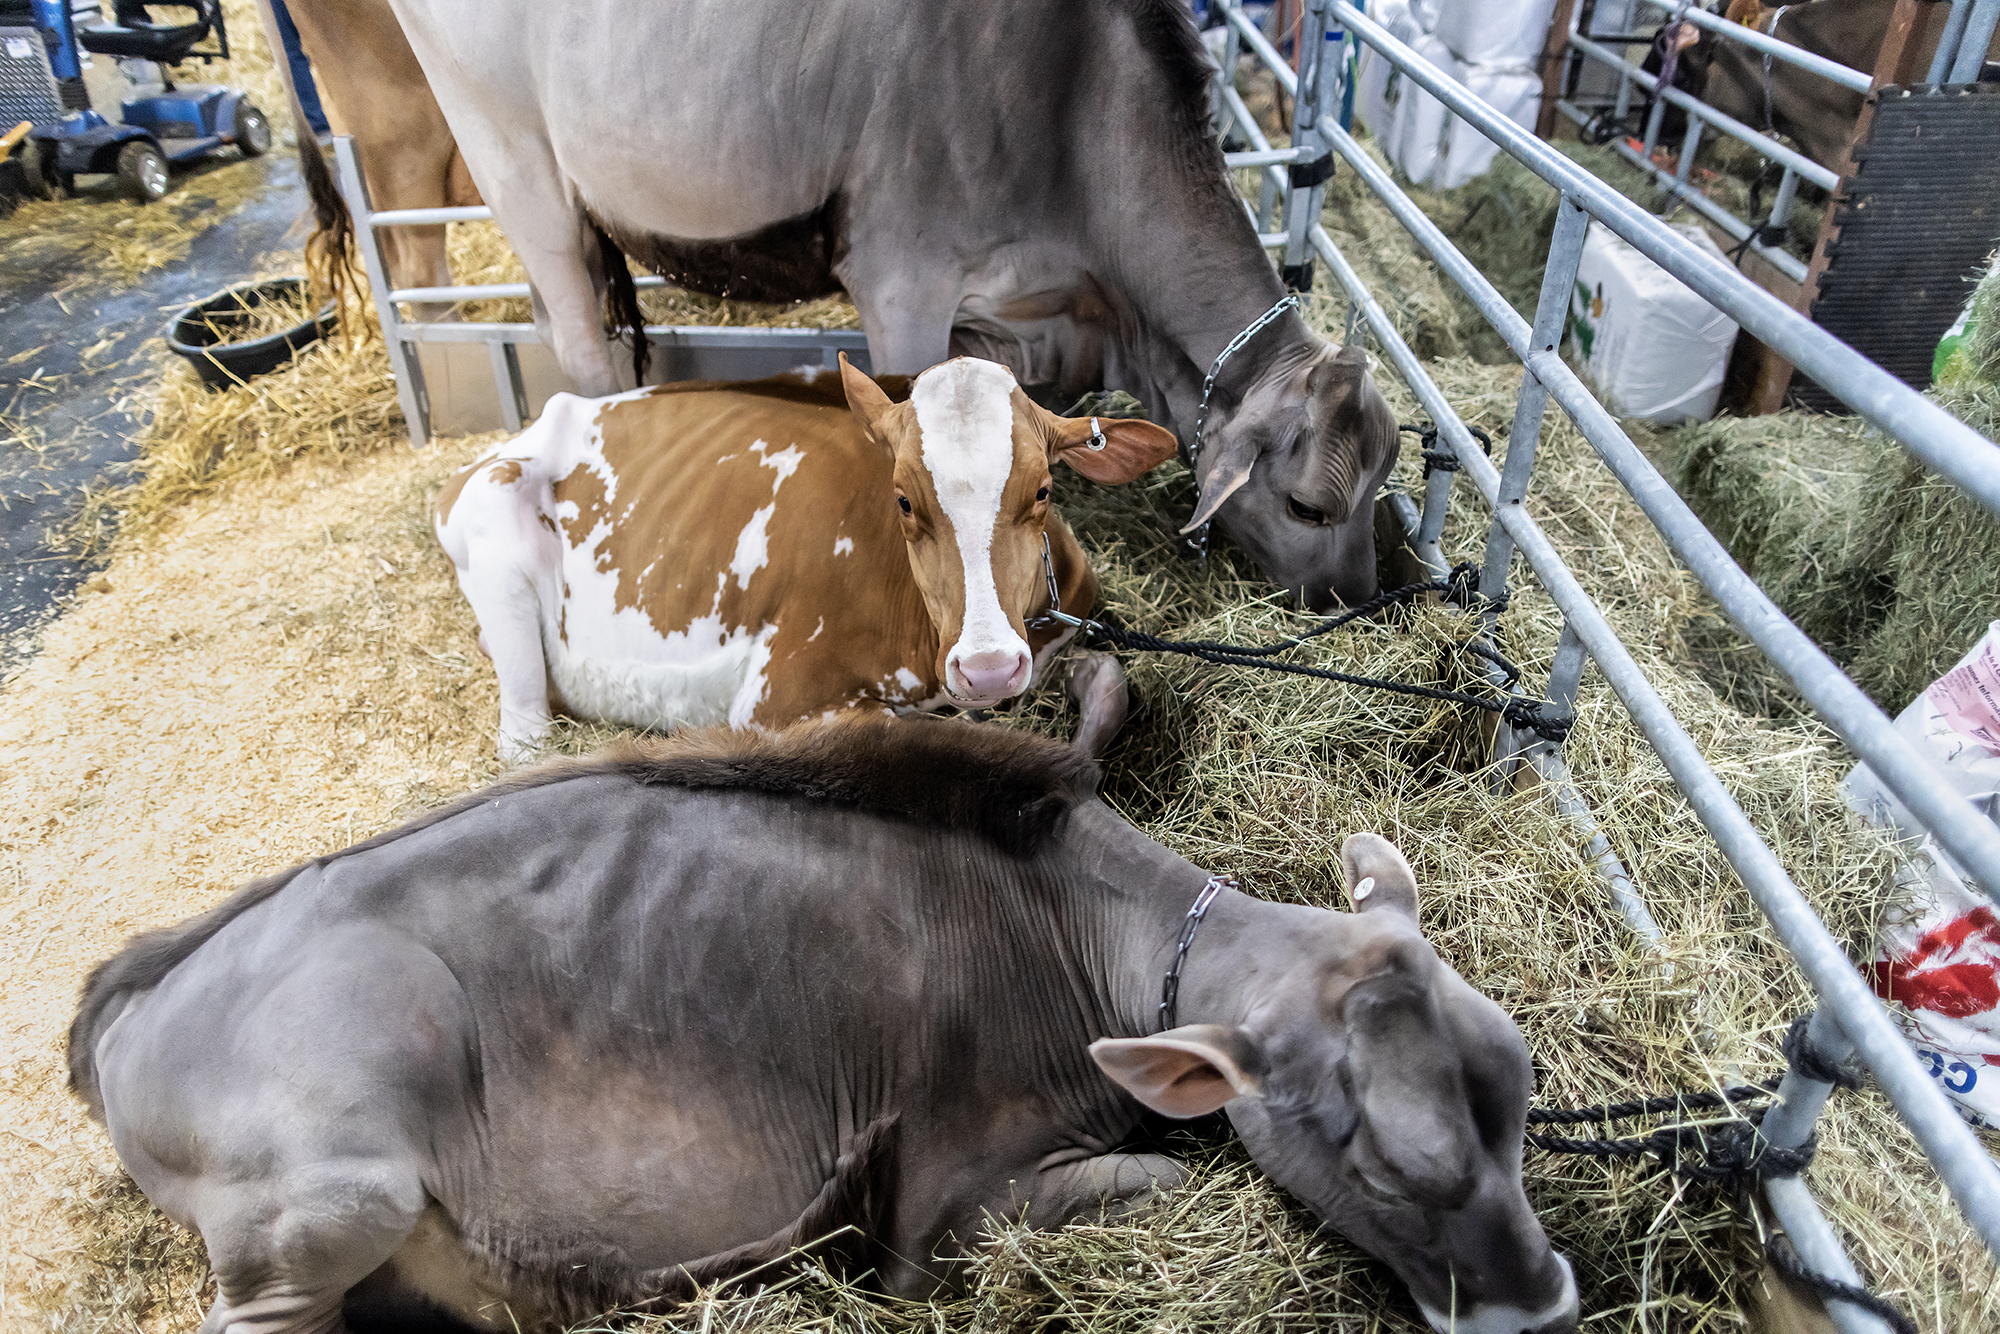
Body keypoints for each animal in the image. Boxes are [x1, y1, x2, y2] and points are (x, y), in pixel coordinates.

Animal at [70, 720, 1584, 1334]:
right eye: (1387, 1162)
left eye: (1519, 1099)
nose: (1547, 1300)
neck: (1071, 928)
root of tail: (143, 985)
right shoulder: (941, 1210)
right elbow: (1155, 1181)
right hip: (332, 1194)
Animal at [434, 354, 1168, 760]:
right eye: (903, 501)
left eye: (1043, 488)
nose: (987, 668)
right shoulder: (773, 700)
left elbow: (1111, 683)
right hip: (495, 526)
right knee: (524, 738)